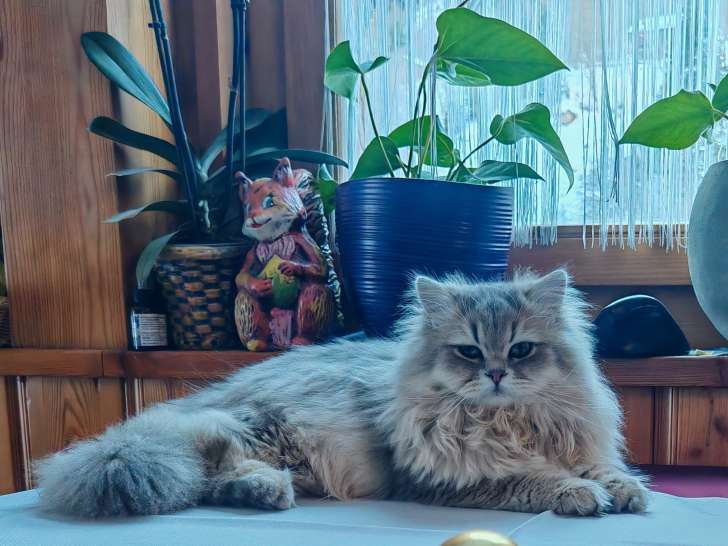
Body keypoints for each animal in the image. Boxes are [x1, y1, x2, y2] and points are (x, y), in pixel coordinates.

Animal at [36, 269, 649, 518]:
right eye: (470, 353)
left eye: (520, 351)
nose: (497, 374)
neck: (507, 423)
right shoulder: (441, 481)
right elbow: (532, 480)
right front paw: (578, 495)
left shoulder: (576, 443)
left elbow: (603, 469)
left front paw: (625, 492)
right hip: (263, 433)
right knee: (215, 470)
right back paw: (266, 493)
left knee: (211, 483)